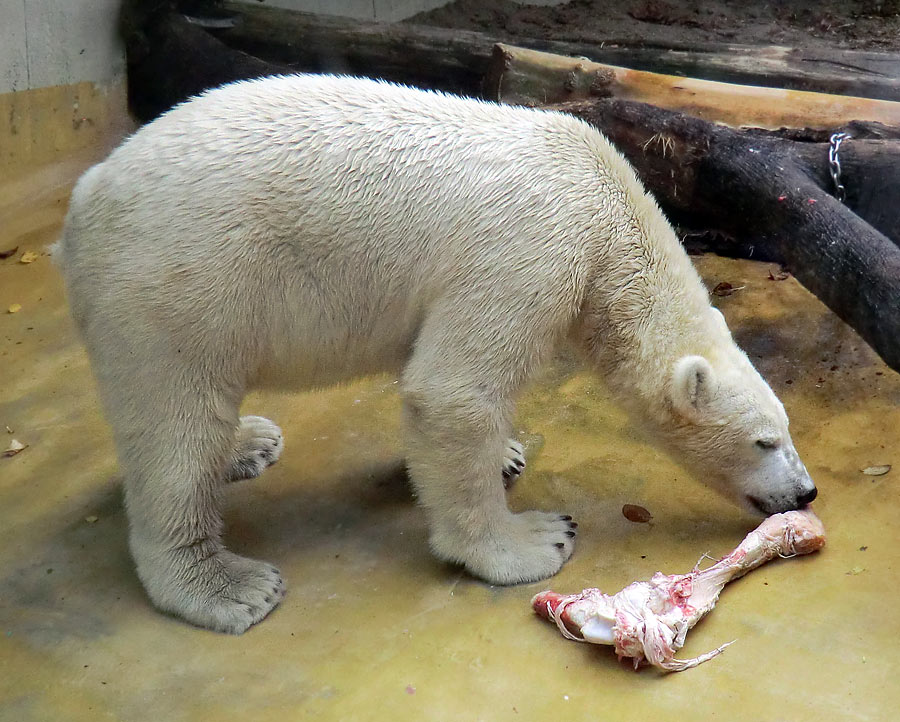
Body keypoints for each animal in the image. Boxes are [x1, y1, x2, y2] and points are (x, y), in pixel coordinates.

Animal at [56, 74, 816, 632]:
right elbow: (453, 389)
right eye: (763, 440)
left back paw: (251, 443)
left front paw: (506, 453)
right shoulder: (536, 246)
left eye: (787, 430)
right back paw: (226, 584)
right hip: (174, 284)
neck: (607, 201)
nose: (805, 492)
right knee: (176, 429)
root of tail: (83, 202)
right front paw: (533, 540)